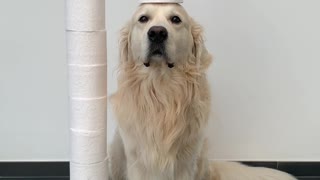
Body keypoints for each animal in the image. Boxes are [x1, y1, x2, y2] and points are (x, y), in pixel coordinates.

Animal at [109, 2, 296, 180]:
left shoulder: (185, 163)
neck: (162, 87)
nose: (157, 33)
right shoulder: (137, 162)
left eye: (175, 19)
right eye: (143, 19)